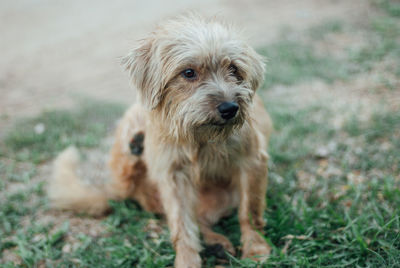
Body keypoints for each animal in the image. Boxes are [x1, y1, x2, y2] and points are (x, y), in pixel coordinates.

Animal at [49, 14, 272, 268]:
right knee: (129, 175)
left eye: (234, 69)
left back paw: (215, 242)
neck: (199, 138)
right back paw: (136, 145)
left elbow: (250, 211)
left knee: (201, 219)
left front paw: (256, 248)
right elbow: (181, 225)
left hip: (222, 197)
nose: (230, 108)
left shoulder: (251, 162)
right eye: (188, 72)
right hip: (133, 132)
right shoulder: (173, 176)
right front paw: (187, 261)